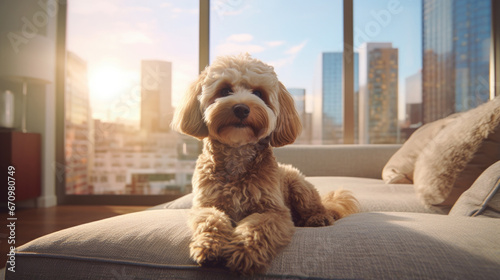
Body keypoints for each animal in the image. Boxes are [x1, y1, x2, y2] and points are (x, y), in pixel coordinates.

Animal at [172, 53, 360, 274]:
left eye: (259, 93)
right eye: (225, 90)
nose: (241, 108)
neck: (237, 155)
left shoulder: (273, 211)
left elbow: (256, 227)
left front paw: (244, 251)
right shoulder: (206, 205)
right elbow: (211, 220)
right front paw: (209, 246)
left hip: (299, 185)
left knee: (319, 208)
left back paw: (317, 218)